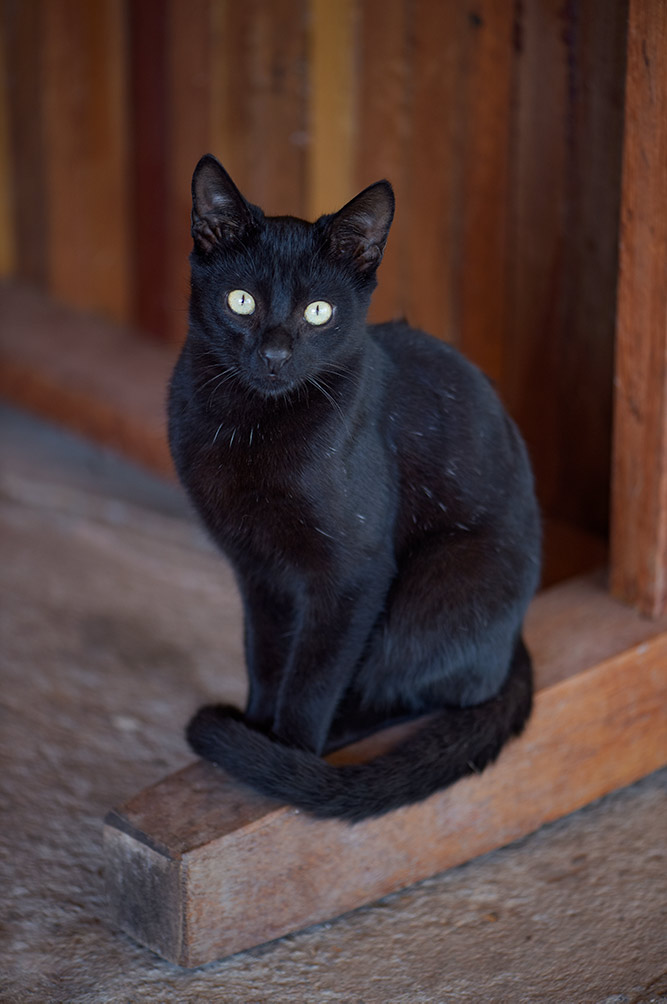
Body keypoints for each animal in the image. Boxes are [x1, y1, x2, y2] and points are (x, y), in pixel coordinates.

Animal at [166, 152, 542, 819]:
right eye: (241, 301)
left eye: (319, 312)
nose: (275, 354)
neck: (249, 430)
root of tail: (517, 633)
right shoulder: (258, 571)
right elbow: (266, 657)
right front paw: (257, 727)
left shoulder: (352, 575)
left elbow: (312, 677)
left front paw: (283, 760)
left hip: (430, 592)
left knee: (434, 689)